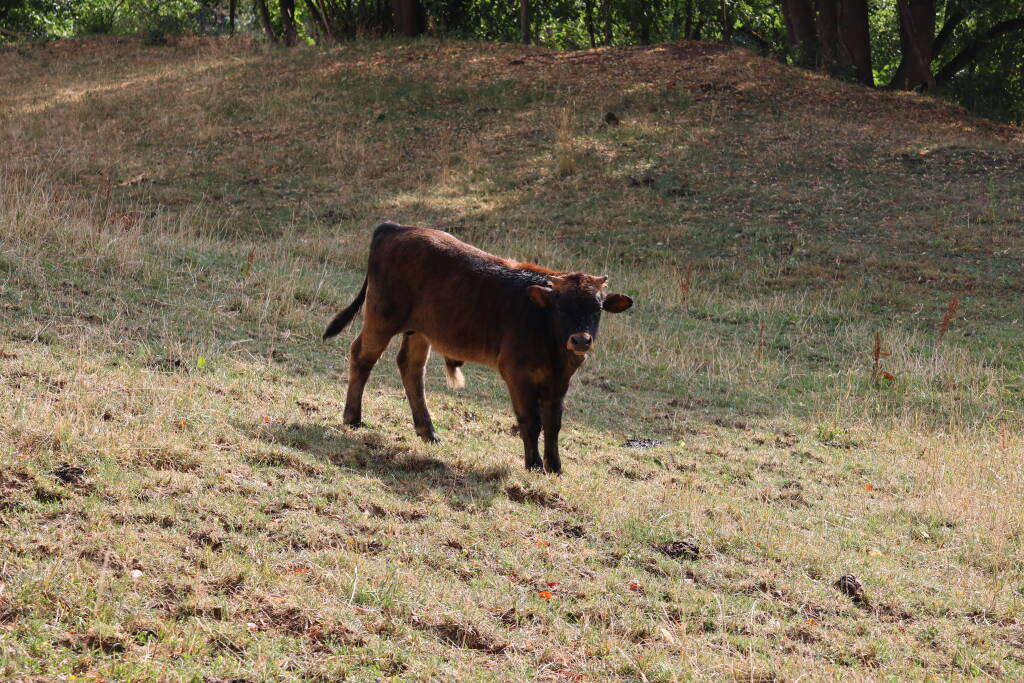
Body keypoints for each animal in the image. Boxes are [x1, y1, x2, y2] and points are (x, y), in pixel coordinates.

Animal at [322, 222, 633, 474]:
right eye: (560, 307)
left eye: (597, 308)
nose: (581, 340)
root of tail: (396, 228)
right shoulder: (517, 374)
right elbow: (531, 421)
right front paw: (533, 465)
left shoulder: (558, 382)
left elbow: (553, 424)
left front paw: (554, 468)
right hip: (382, 318)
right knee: (362, 356)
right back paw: (352, 418)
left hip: (420, 331)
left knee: (411, 369)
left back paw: (428, 431)